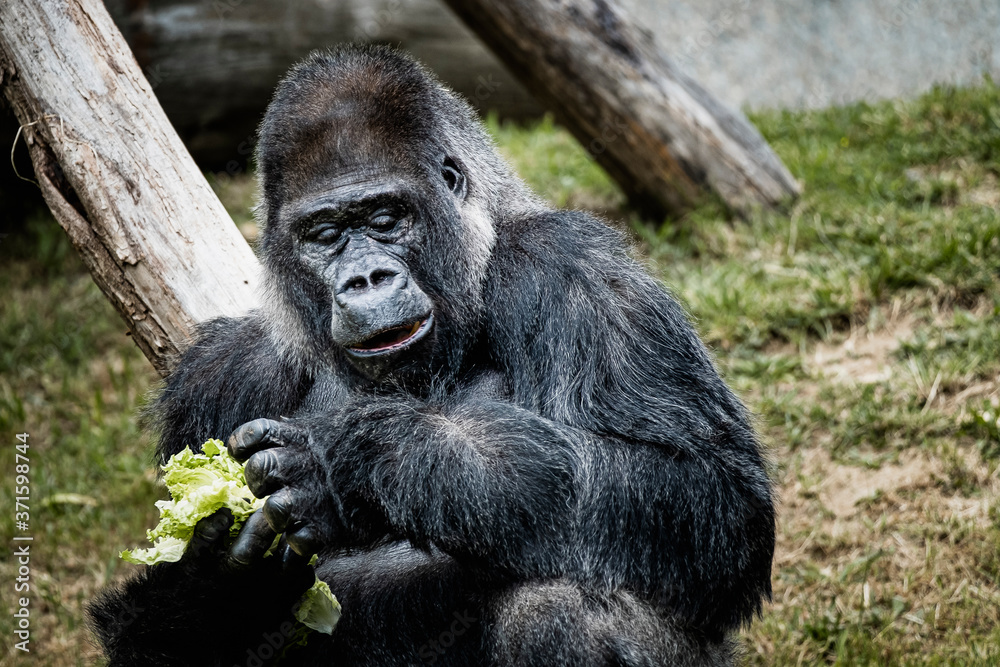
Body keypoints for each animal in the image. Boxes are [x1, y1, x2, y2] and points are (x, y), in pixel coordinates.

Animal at [88, 44, 772, 664]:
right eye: (325, 234)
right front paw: (218, 581)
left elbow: (709, 491)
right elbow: (146, 637)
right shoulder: (217, 376)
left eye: (386, 218)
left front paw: (351, 463)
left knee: (566, 605)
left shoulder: (576, 270)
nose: (365, 280)